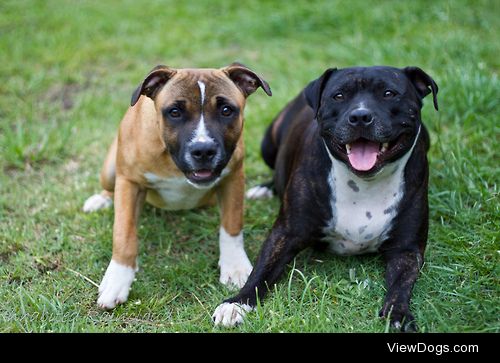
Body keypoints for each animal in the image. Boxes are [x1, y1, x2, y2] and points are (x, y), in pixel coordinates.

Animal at [83, 64, 270, 308]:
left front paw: (235, 266)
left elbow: (231, 225)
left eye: (226, 110)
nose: (203, 150)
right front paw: (118, 279)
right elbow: (124, 234)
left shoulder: (233, 178)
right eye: (174, 112)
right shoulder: (129, 182)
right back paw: (100, 200)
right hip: (110, 171)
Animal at [213, 66, 440, 332]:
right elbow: (261, 271)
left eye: (389, 93)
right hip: (267, 143)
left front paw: (399, 315)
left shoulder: (406, 250)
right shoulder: (285, 234)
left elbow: (401, 286)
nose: (360, 116)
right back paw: (264, 188)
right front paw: (236, 303)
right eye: (339, 96)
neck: (364, 184)